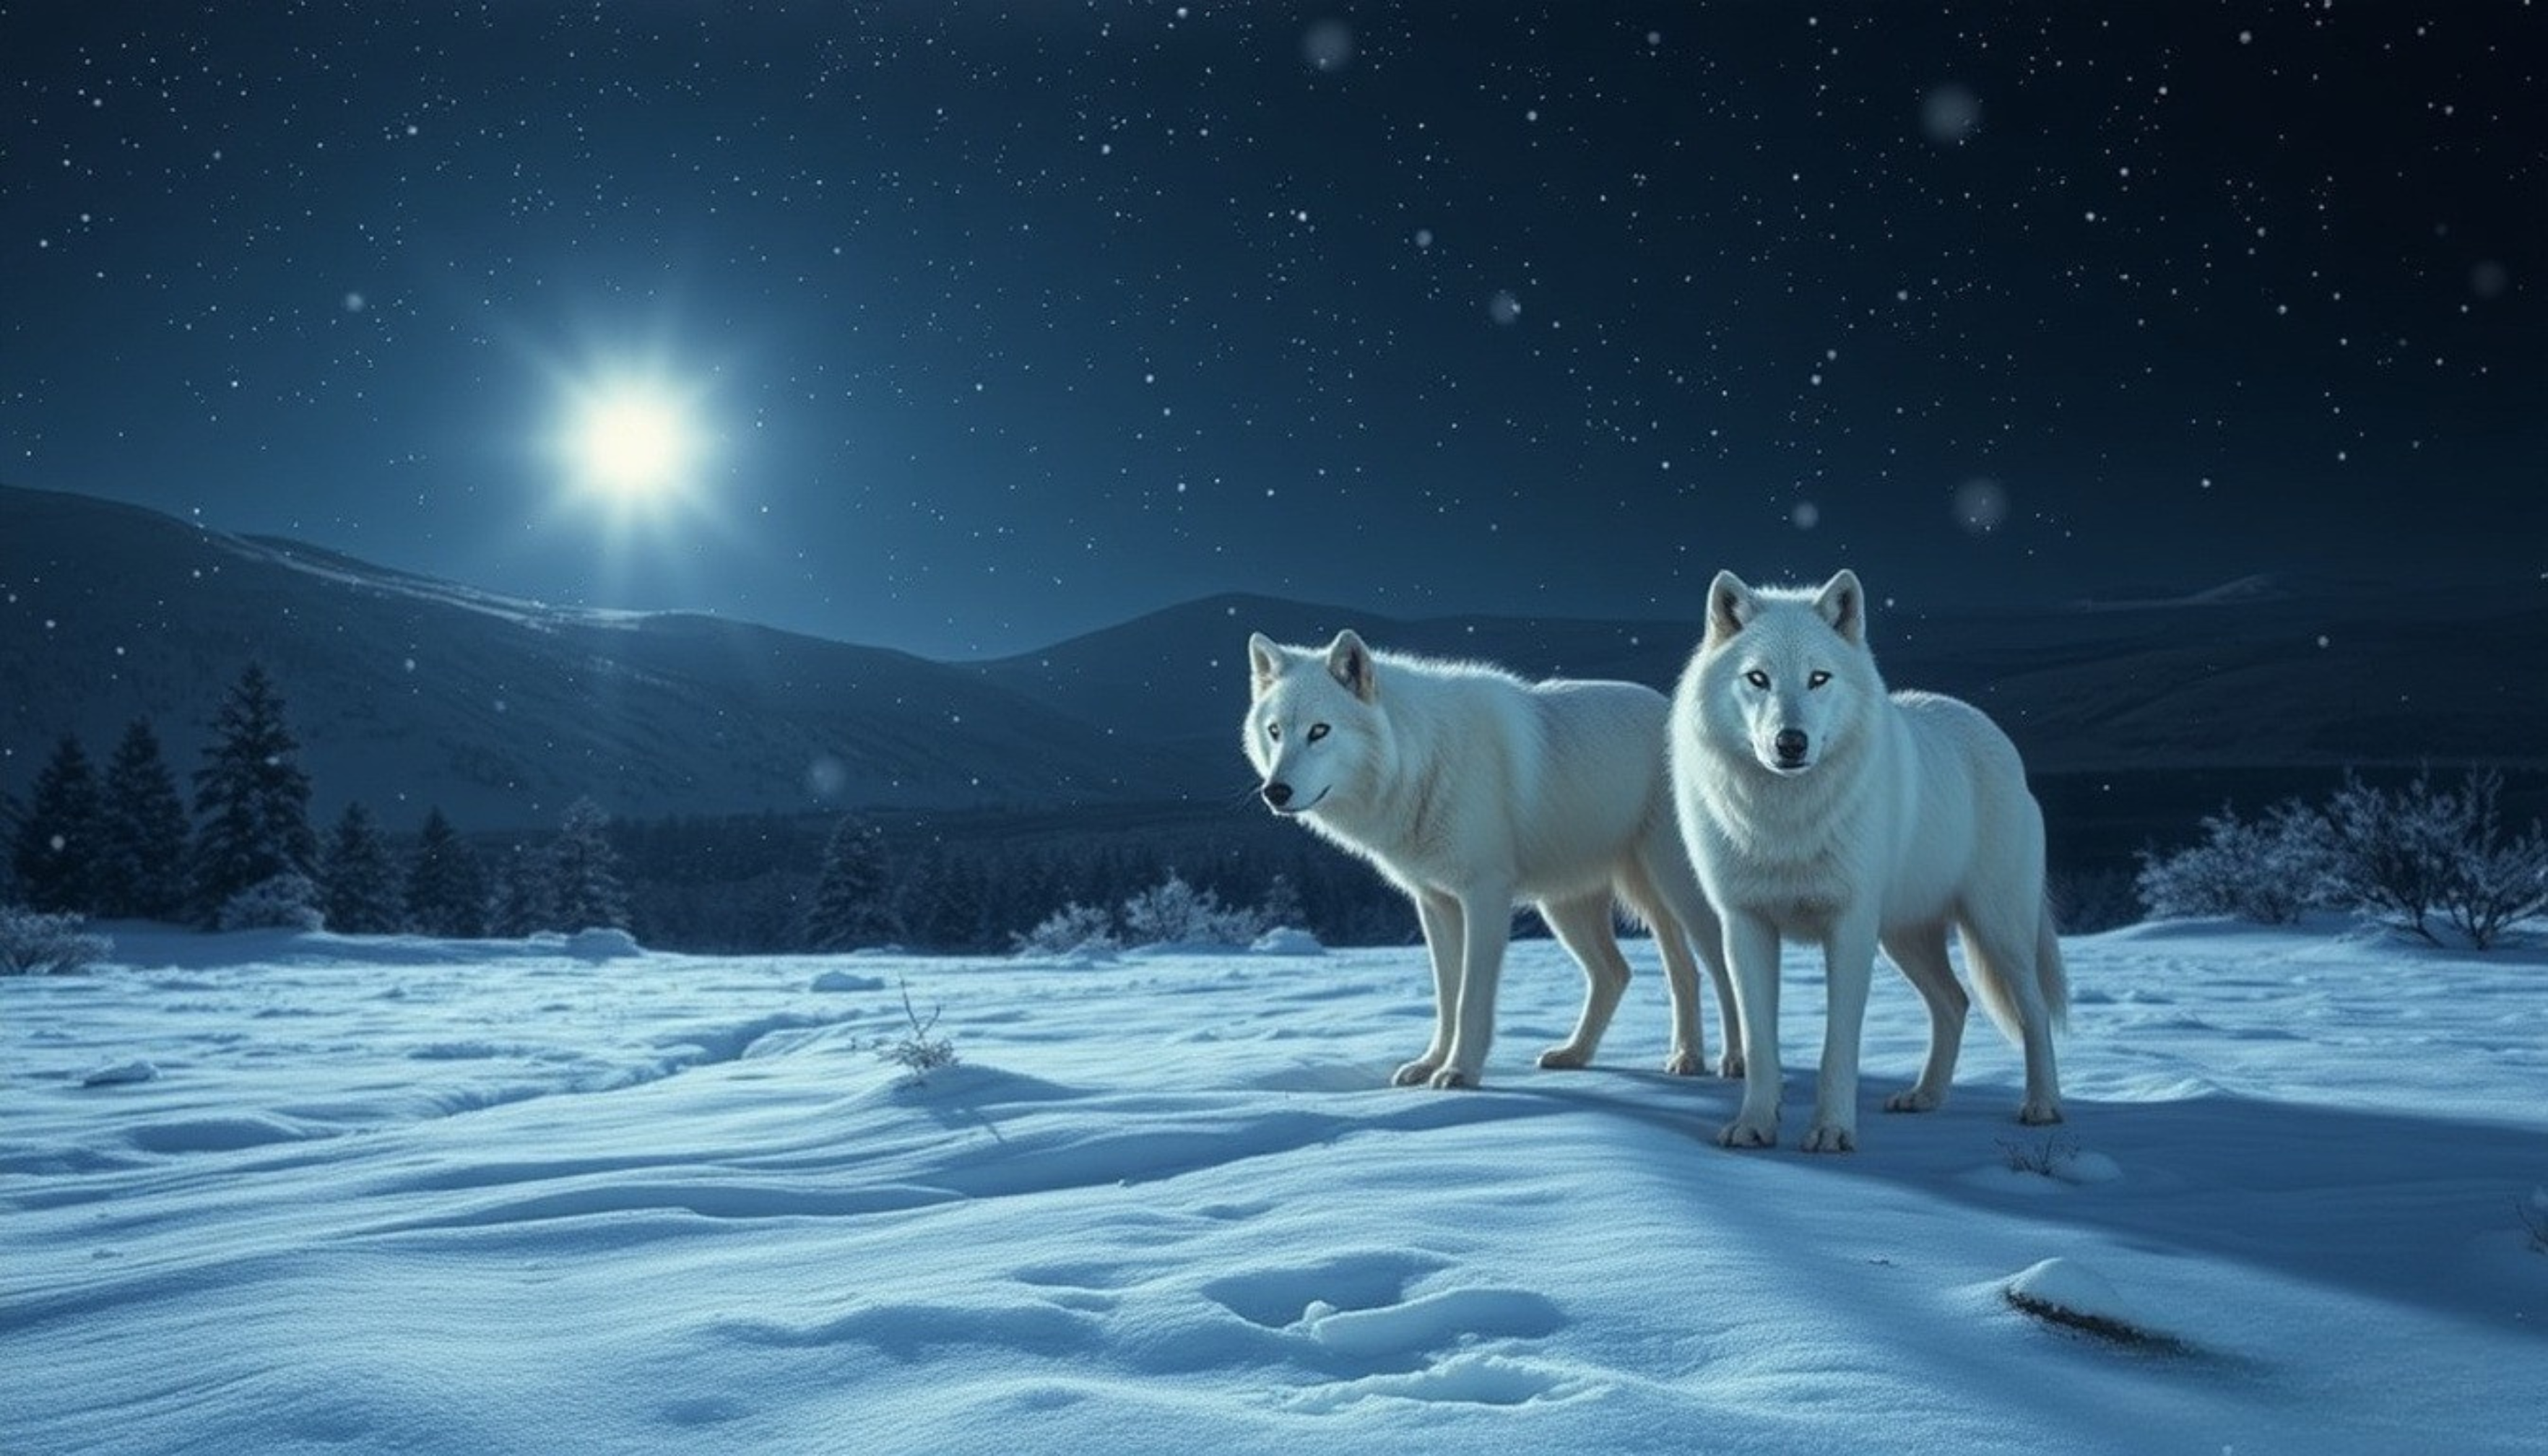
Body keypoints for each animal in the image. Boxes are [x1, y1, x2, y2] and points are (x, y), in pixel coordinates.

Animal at [1245, 630, 1740, 1089]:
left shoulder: (1484, 896)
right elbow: (1446, 997)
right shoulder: (1435, 903)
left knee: (1715, 968)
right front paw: (1429, 1064)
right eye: (1275, 732)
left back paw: (1729, 1062)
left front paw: (1459, 1071)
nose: (1275, 791)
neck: (1422, 759)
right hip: (1568, 907)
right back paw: (1602, 1055)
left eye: (1319, 730)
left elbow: (1470, 998)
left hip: (1679, 893)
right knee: (1627, 973)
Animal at [1667, 570, 2067, 1152]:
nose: (1791, 742)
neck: (1784, 823)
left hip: (1997, 929)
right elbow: (1761, 1045)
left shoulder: (1850, 926)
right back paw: (1924, 1097)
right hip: (1904, 938)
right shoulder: (1745, 926)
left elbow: (1838, 1047)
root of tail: (1993, 731)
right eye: (1758, 678)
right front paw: (1755, 1125)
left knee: (2033, 1011)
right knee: (1954, 1002)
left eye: (1819, 678)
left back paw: (2042, 1105)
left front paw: (1832, 1132)